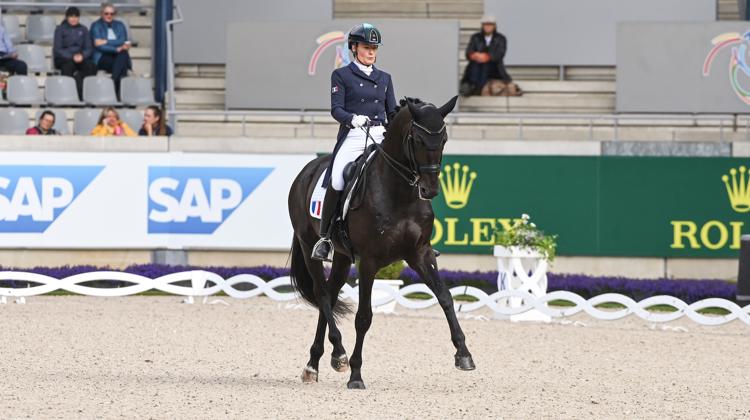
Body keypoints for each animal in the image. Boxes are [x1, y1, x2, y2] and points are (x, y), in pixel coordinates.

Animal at [288, 97, 476, 388]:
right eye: (417, 139)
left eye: (444, 139)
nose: (430, 189)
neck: (400, 192)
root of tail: (307, 171)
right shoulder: (369, 261)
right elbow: (364, 317)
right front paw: (356, 375)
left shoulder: (420, 253)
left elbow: (445, 298)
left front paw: (464, 354)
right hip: (310, 247)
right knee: (322, 293)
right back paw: (338, 354)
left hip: (342, 256)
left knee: (330, 293)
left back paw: (315, 363)